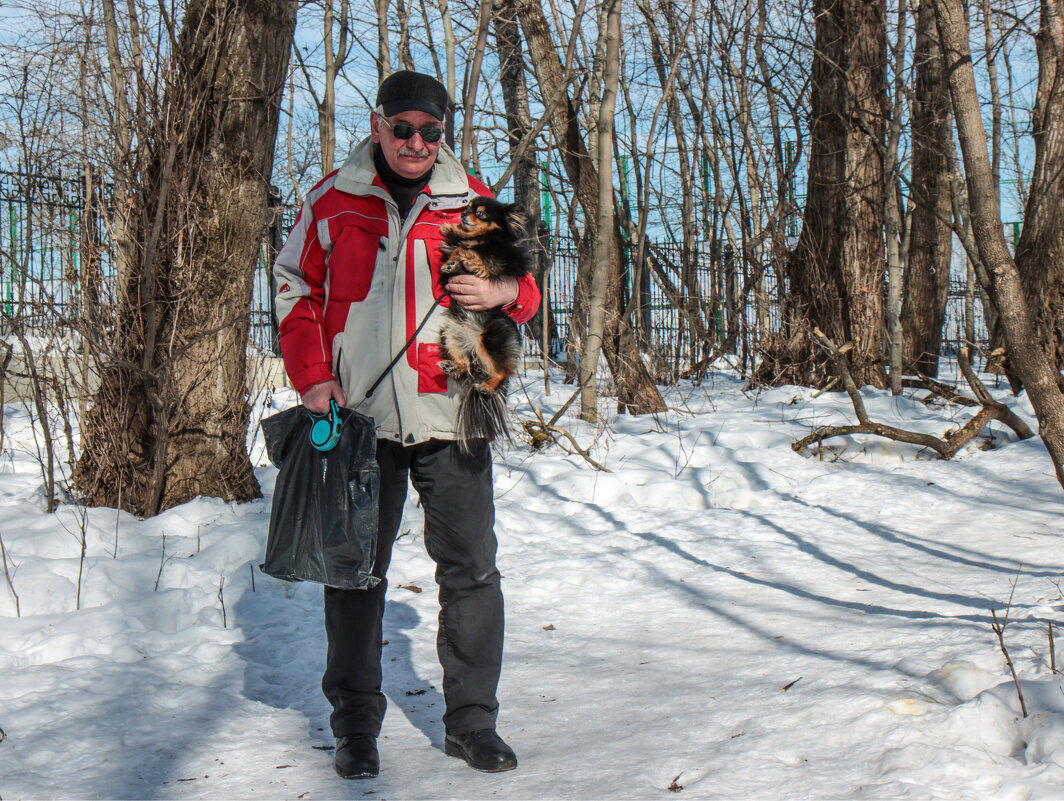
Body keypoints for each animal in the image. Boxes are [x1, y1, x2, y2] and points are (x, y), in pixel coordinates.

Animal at [434, 195, 529, 451]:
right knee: (465, 364)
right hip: (450, 334)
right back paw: (452, 366)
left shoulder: (491, 263)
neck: (486, 236)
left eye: (482, 214)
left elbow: (466, 250)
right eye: (468, 208)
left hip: (490, 340)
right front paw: (451, 230)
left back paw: (487, 386)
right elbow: (458, 244)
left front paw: (455, 257)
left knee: (503, 371)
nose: (463, 214)